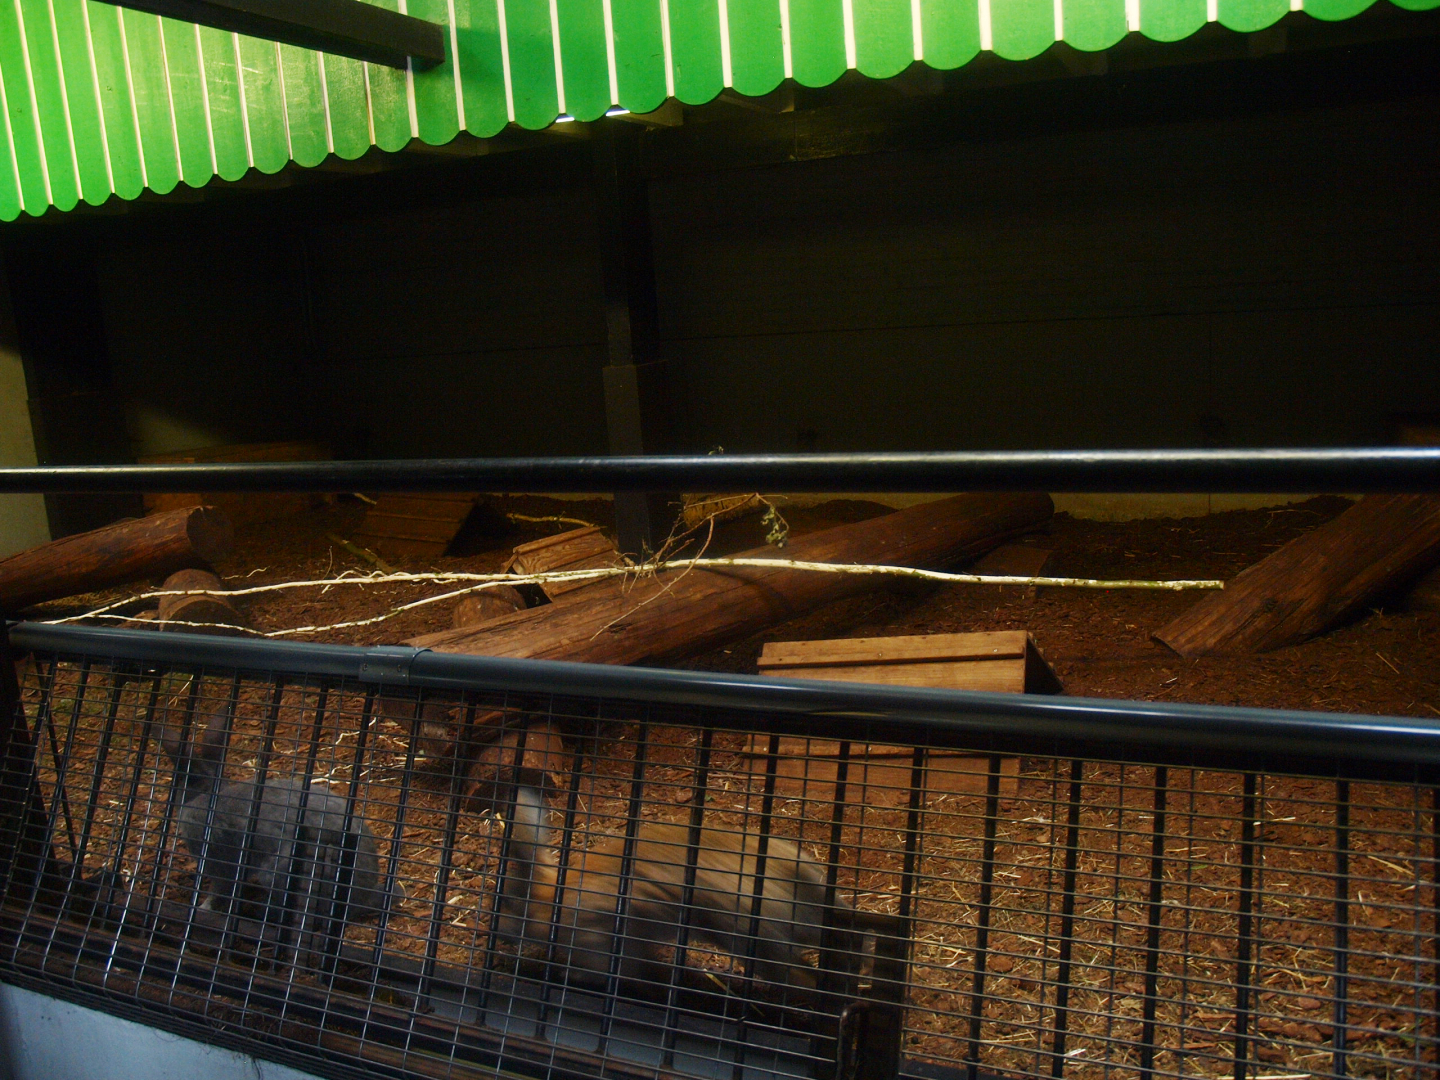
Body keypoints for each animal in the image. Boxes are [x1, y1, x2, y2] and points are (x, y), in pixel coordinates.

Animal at [158, 715, 386, 967]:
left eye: (182, 779)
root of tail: (363, 897)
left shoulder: (218, 862)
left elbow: (218, 891)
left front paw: (203, 910)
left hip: (280, 873)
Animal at [494, 781, 868, 1004]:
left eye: (509, 900)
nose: (496, 932)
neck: (550, 901)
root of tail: (797, 870)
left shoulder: (599, 944)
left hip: (756, 941)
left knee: (801, 975)